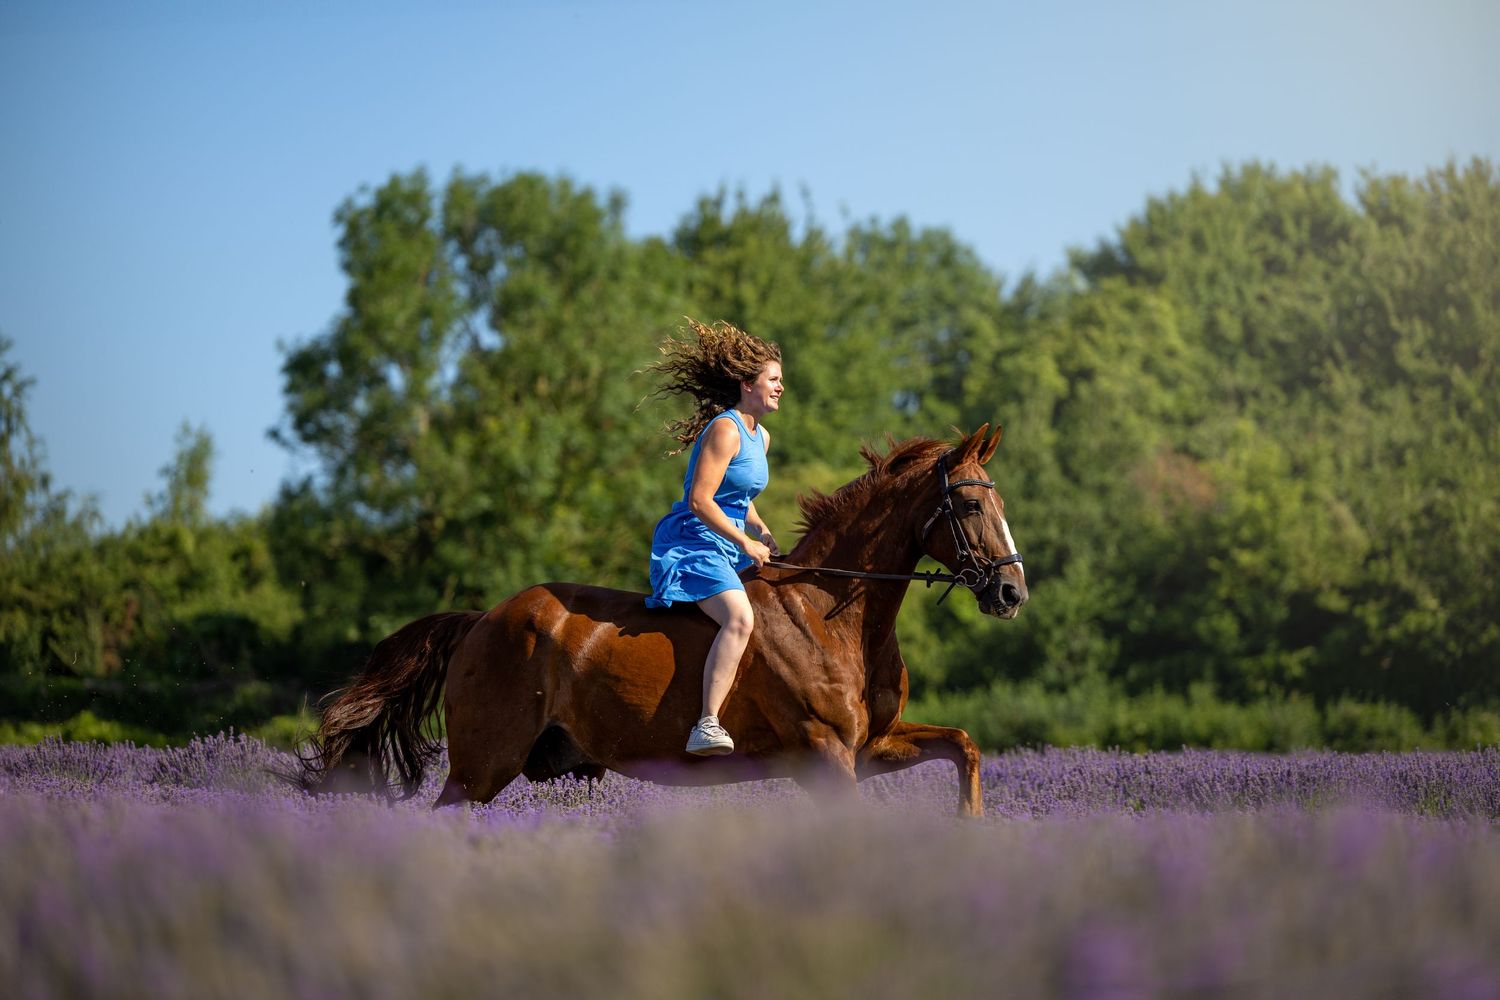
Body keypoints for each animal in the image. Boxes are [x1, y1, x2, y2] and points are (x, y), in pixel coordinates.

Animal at [298, 424, 1027, 817]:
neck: (833, 612)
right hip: (482, 766)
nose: (1012, 591)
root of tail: (483, 620)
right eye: (968, 506)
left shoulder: (869, 747)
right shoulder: (825, 754)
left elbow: (964, 745)